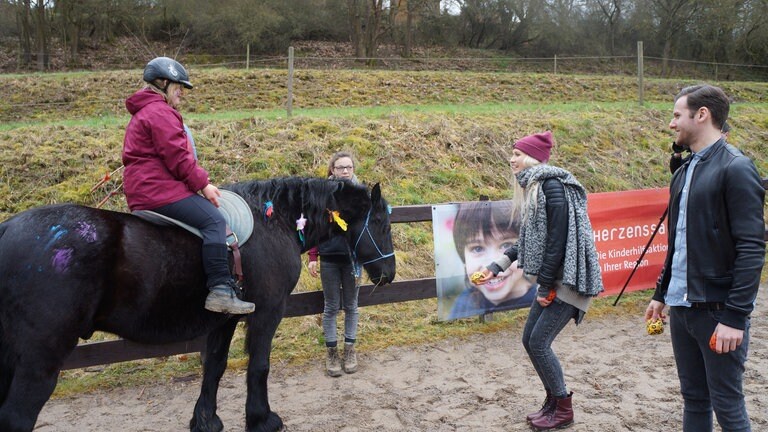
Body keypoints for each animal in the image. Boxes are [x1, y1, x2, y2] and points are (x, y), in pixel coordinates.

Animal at [0, 177, 396, 430]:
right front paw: (261, 419)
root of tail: (8, 229)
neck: (274, 221)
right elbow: (259, 366)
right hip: (39, 363)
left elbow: (215, 368)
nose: (389, 273)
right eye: (381, 222)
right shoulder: (268, 313)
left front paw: (206, 420)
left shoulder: (223, 320)